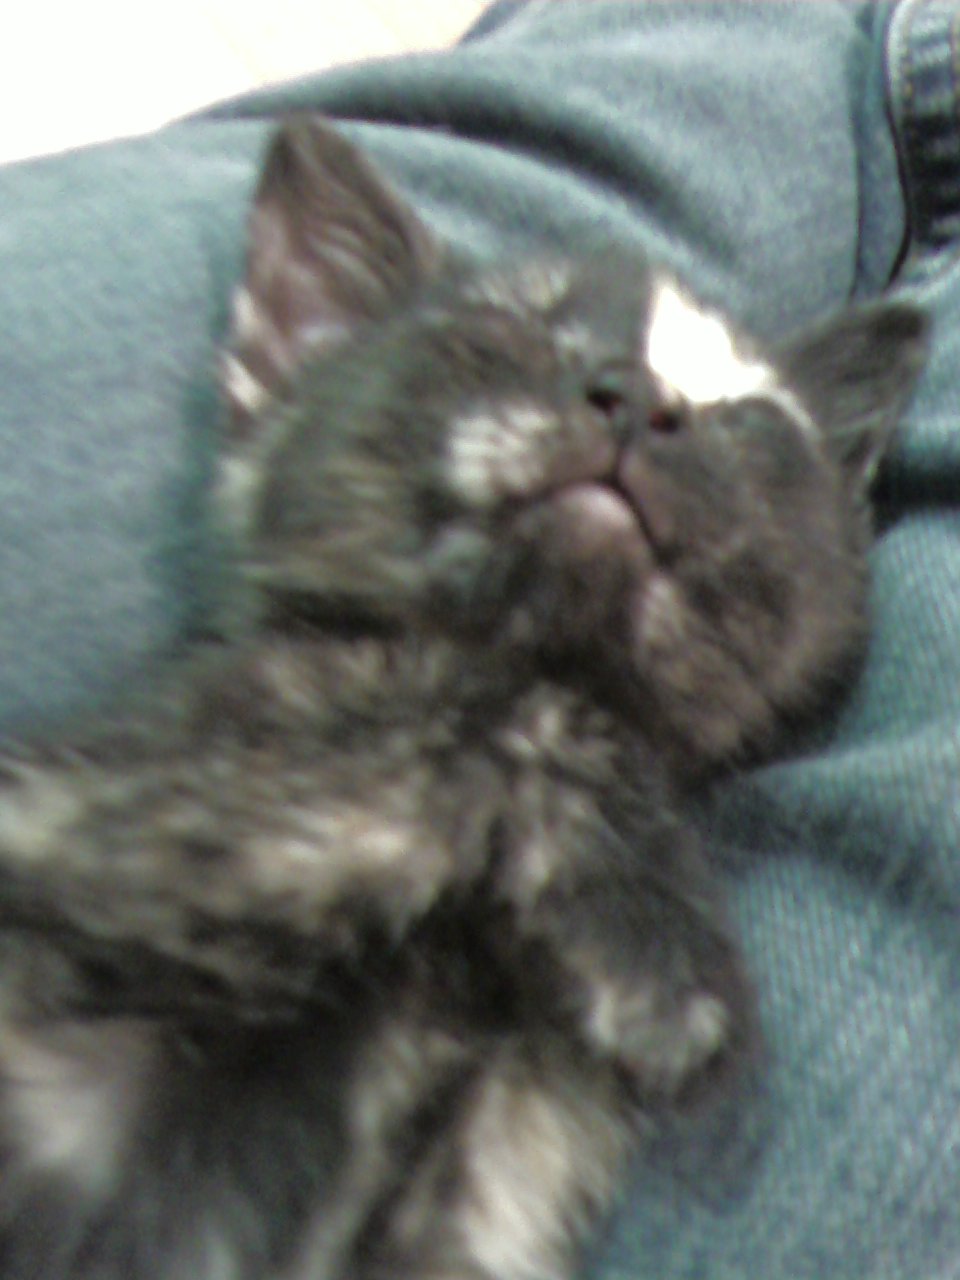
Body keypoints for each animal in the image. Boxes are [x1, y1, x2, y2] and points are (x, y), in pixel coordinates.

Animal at [0, 116, 927, 1280]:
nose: (639, 397)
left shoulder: (501, 1180)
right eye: (506, 325)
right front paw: (660, 946)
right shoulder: (81, 823)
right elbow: (495, 710)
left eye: (743, 413)